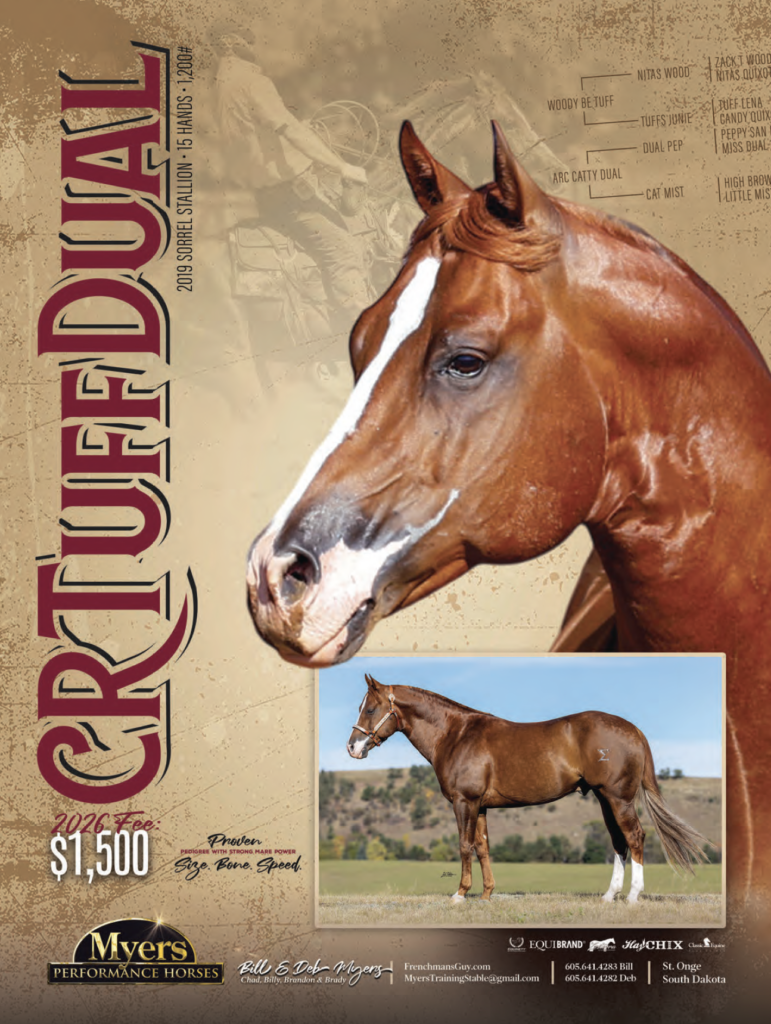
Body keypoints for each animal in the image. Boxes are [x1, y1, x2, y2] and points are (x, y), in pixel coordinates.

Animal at [346, 674, 710, 903]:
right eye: (361, 707)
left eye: (371, 708)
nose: (353, 747)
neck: (457, 734)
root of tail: (633, 729)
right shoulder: (481, 806)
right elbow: (483, 848)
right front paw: (487, 895)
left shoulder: (464, 802)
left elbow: (464, 846)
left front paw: (460, 894)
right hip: (606, 800)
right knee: (619, 843)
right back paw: (609, 896)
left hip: (619, 798)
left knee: (634, 838)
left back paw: (633, 896)